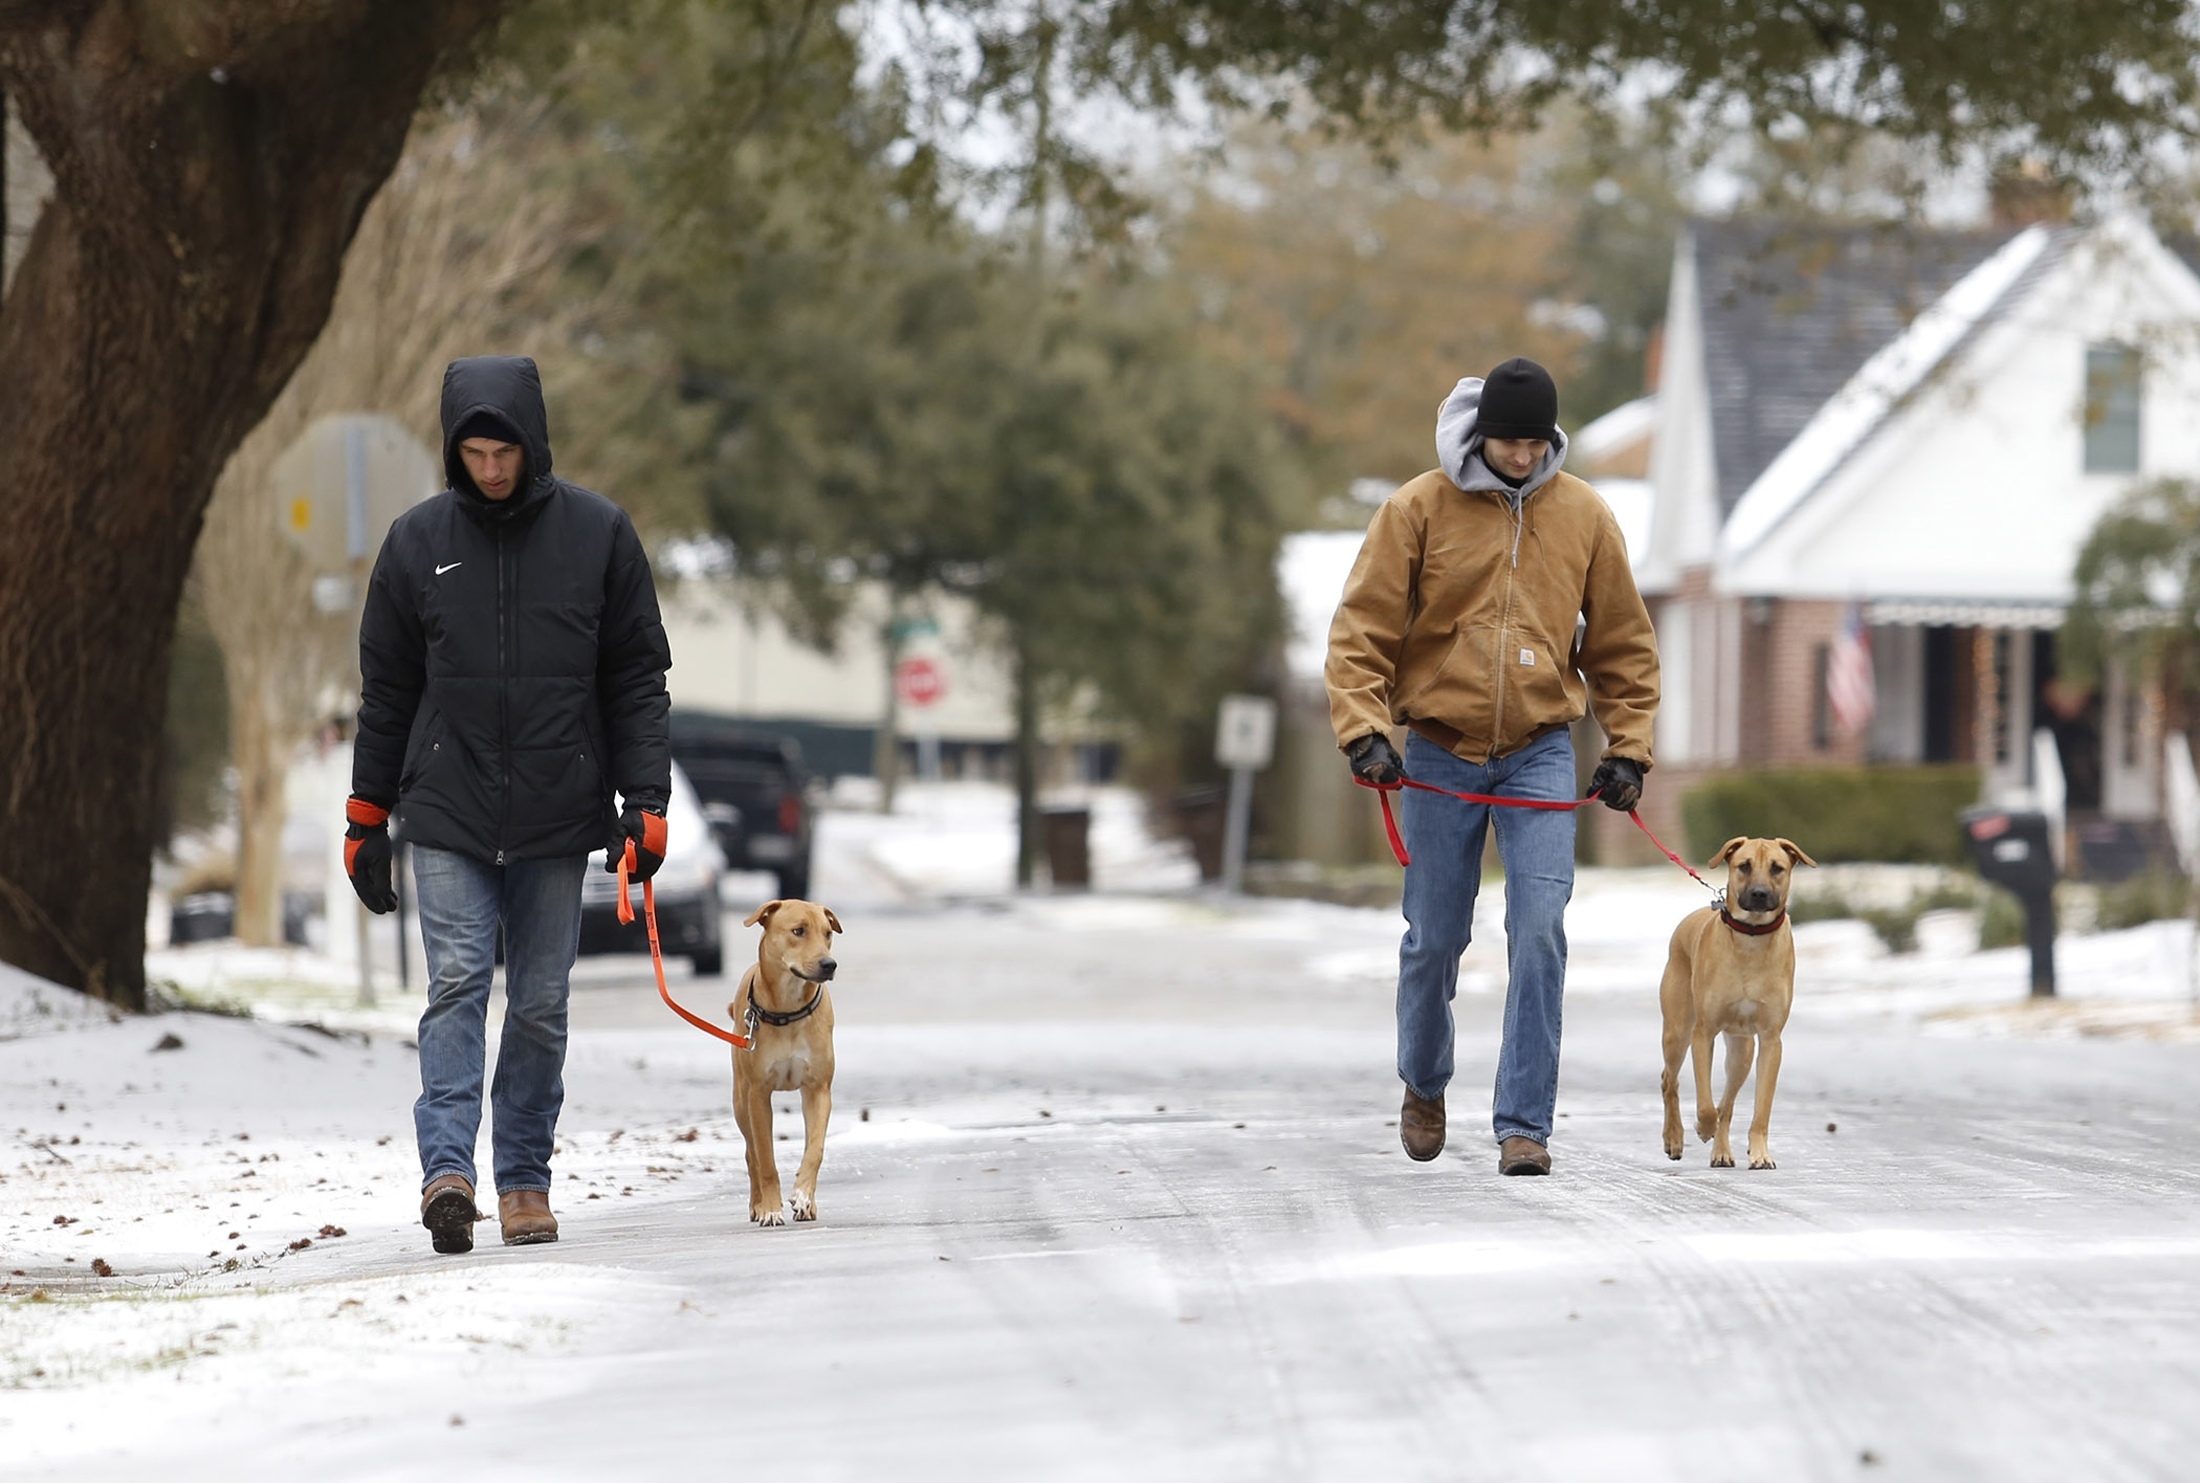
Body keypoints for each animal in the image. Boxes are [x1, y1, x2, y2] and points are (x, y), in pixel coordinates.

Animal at [739, 893, 840, 1214]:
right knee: (751, 1153)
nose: (829, 964)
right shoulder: (757, 1094)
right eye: (798, 931)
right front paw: (771, 1209)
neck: (788, 1010)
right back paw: (757, 1205)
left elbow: (815, 1148)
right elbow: (765, 1157)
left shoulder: (819, 1090)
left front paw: (803, 1195)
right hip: (739, 1100)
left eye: (828, 933)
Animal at [1654, 831, 1821, 1170]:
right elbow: (1705, 1102)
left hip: (1742, 1050)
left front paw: (1760, 1154)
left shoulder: (1771, 1040)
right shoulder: (1703, 1033)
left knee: (1727, 1103)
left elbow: (1760, 1110)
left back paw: (1721, 1151)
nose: (1758, 894)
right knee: (1669, 1081)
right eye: (1744, 865)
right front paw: (1702, 1127)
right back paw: (1675, 1138)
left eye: (1777, 868)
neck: (1751, 938)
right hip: (1677, 1031)